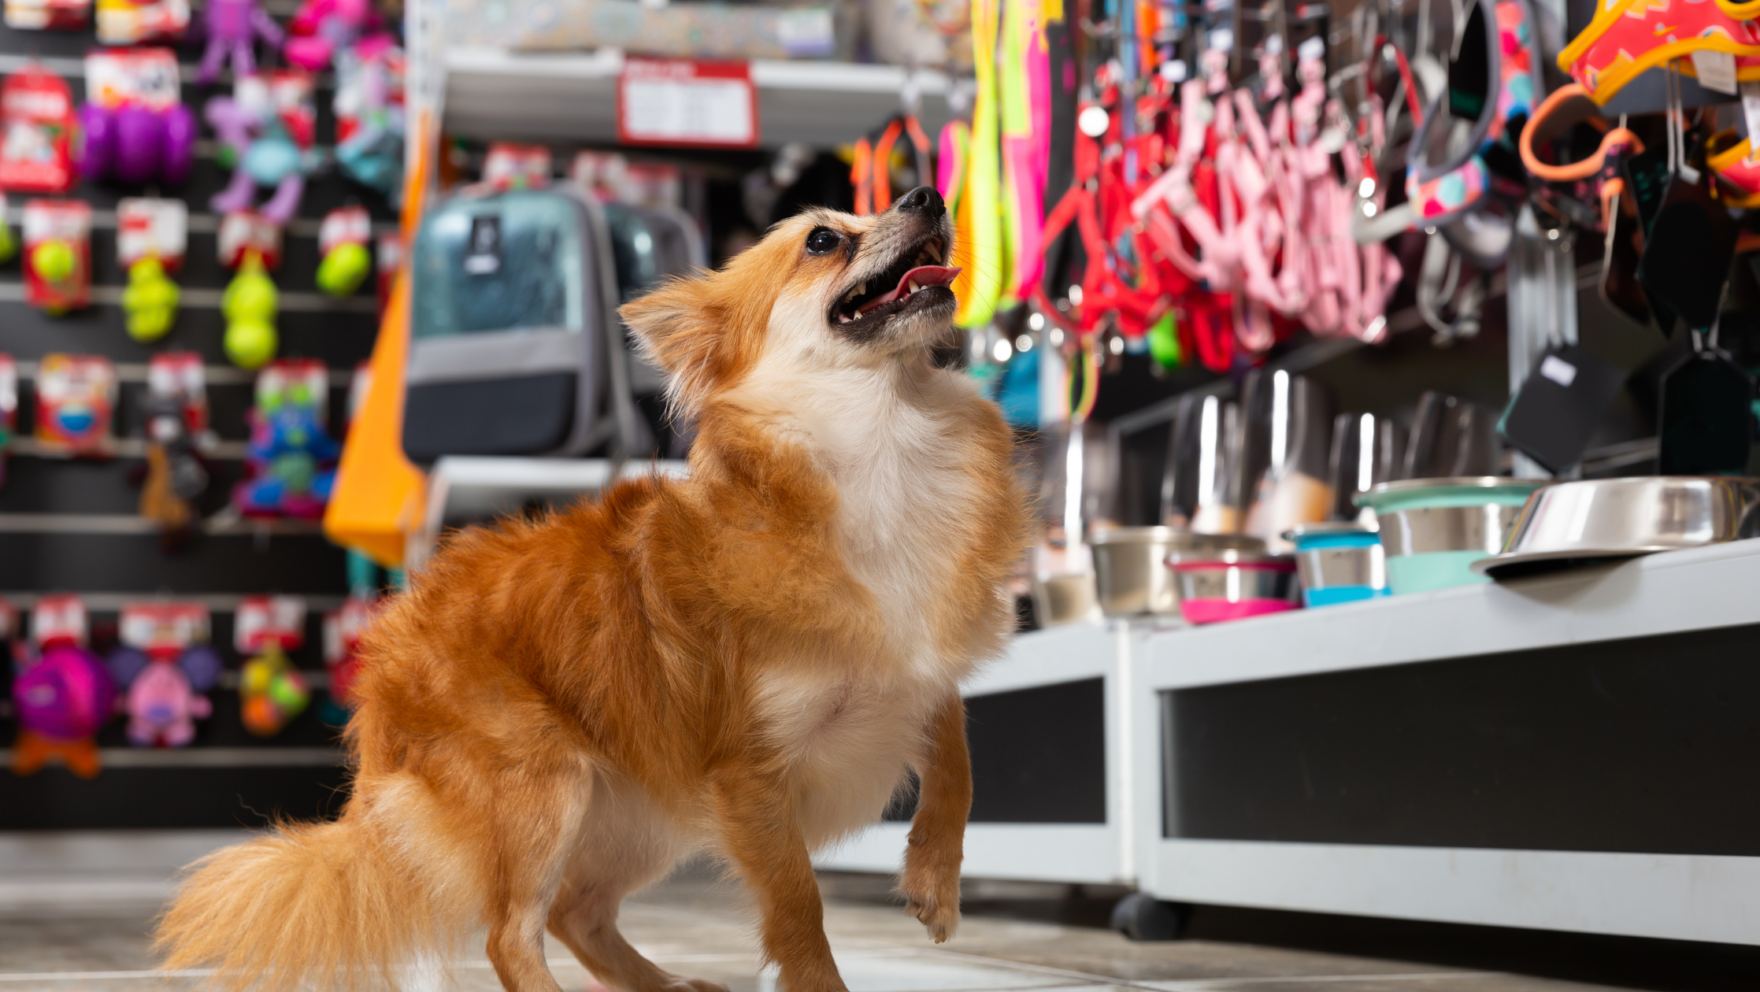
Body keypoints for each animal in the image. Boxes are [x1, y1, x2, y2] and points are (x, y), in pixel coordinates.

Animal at [161, 183, 1027, 992]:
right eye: (822, 239)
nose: (928, 193)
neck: (885, 439)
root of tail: (385, 660)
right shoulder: (749, 774)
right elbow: (797, 909)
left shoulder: (916, 668)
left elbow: (958, 753)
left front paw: (934, 879)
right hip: (542, 787)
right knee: (512, 934)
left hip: (643, 814)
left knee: (576, 912)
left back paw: (666, 984)